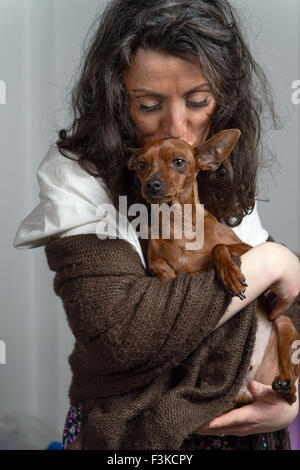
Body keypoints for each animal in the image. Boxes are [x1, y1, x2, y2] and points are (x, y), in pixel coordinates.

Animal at [126, 129, 300, 408]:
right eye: (142, 164)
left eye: (179, 162)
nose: (152, 184)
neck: (179, 225)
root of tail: (245, 390)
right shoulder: (154, 255)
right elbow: (155, 264)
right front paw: (168, 274)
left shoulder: (247, 247)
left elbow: (219, 246)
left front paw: (230, 276)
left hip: (284, 323)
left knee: (291, 378)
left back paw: (286, 385)